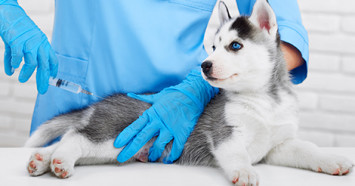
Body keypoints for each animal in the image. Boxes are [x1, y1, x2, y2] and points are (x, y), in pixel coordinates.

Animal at [25, 0, 354, 185]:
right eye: (213, 46)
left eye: (235, 45)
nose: (204, 66)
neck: (264, 101)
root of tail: (103, 102)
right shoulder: (225, 135)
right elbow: (237, 154)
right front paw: (245, 172)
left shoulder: (278, 144)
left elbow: (307, 149)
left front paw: (333, 160)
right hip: (112, 134)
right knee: (75, 138)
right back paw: (59, 162)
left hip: (115, 150)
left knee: (69, 140)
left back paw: (41, 160)